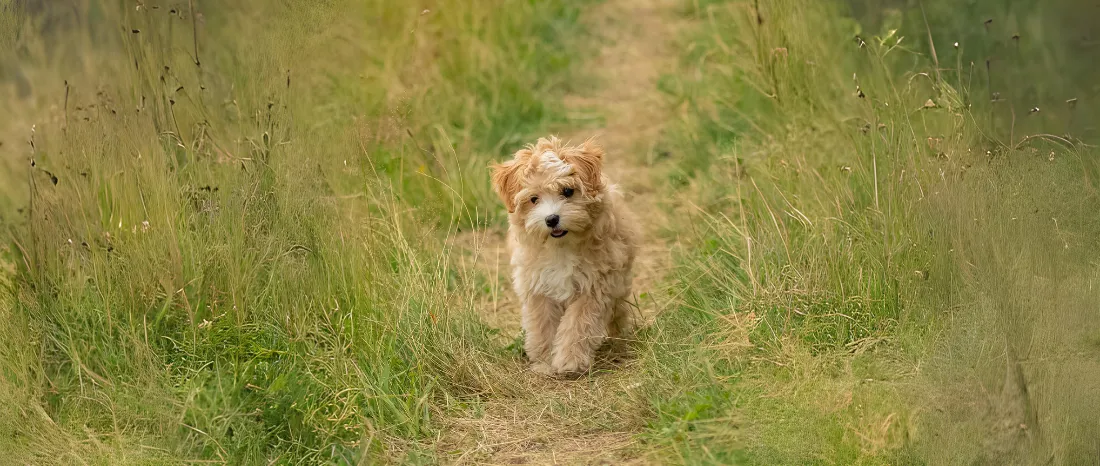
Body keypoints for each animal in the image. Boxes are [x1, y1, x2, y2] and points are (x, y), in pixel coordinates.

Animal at [488, 134, 638, 375]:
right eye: (534, 199)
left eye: (567, 191)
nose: (551, 219)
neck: (561, 247)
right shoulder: (538, 287)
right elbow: (542, 324)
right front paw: (545, 360)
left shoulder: (595, 284)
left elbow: (578, 323)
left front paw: (570, 360)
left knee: (617, 310)